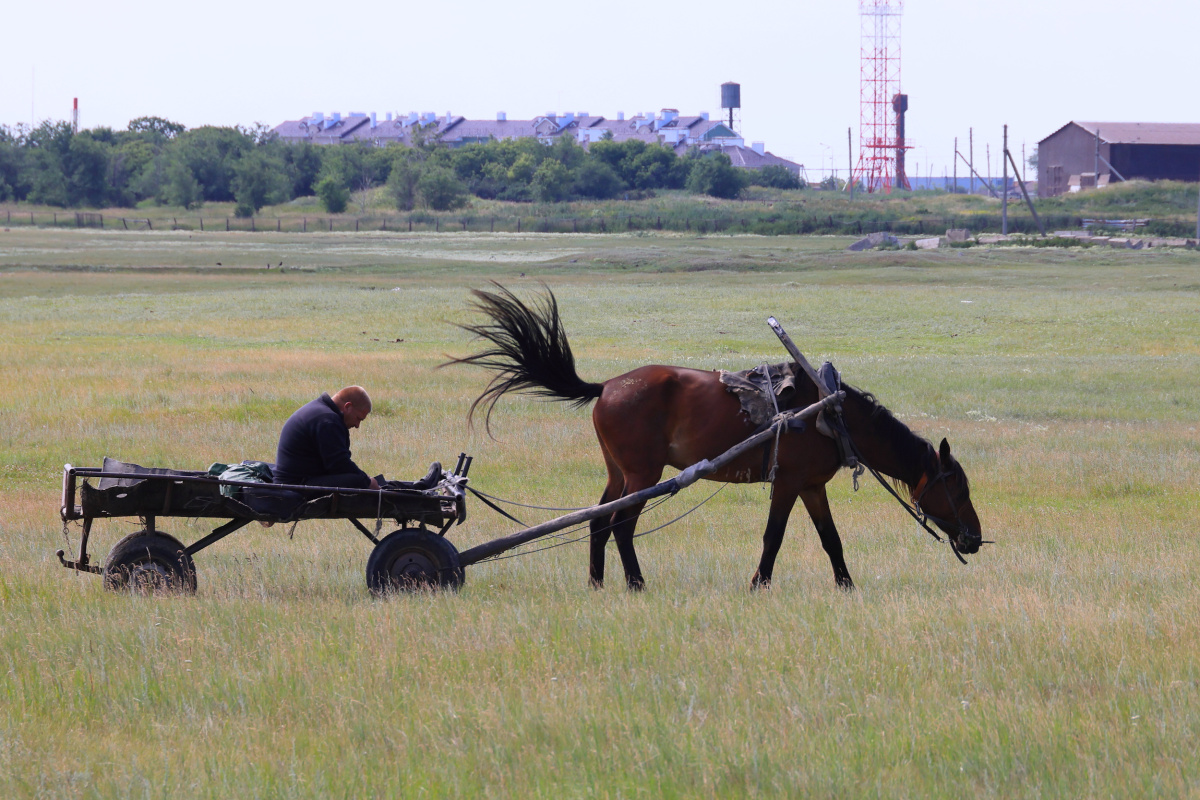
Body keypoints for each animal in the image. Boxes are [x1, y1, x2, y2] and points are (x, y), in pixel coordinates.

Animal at [446, 284, 983, 591]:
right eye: (957, 488)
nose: (975, 538)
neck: (832, 414)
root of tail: (607, 386)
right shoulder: (789, 484)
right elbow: (774, 537)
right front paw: (758, 585)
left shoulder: (812, 487)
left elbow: (831, 540)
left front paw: (846, 587)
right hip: (643, 473)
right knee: (621, 525)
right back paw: (636, 584)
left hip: (619, 473)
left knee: (598, 521)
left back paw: (597, 584)